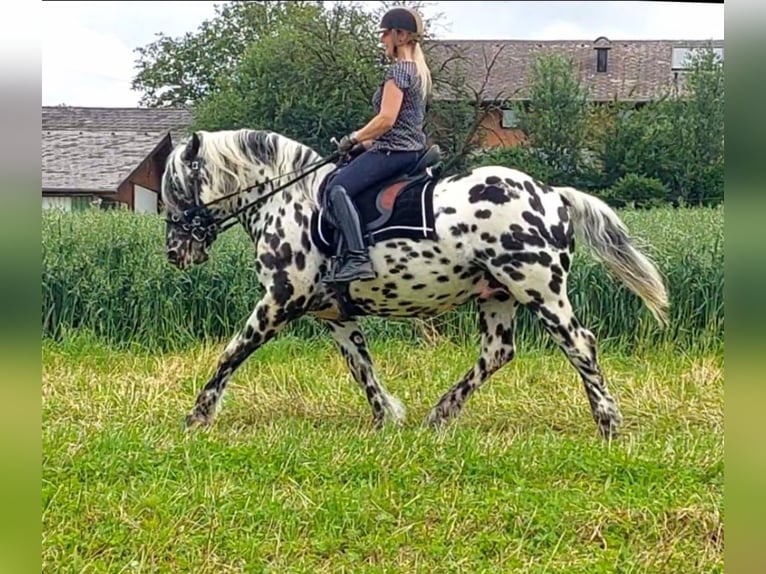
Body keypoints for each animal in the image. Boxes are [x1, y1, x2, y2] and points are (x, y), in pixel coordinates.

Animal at [164, 127, 672, 440]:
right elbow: (361, 366)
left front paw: (198, 414)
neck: (287, 200)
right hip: (498, 296)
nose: (174, 252)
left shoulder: (279, 301)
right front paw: (385, 417)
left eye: (174, 189)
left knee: (580, 343)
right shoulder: (335, 315)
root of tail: (553, 195)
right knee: (497, 353)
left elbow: (231, 353)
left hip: (539, 288)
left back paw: (608, 422)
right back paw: (441, 414)